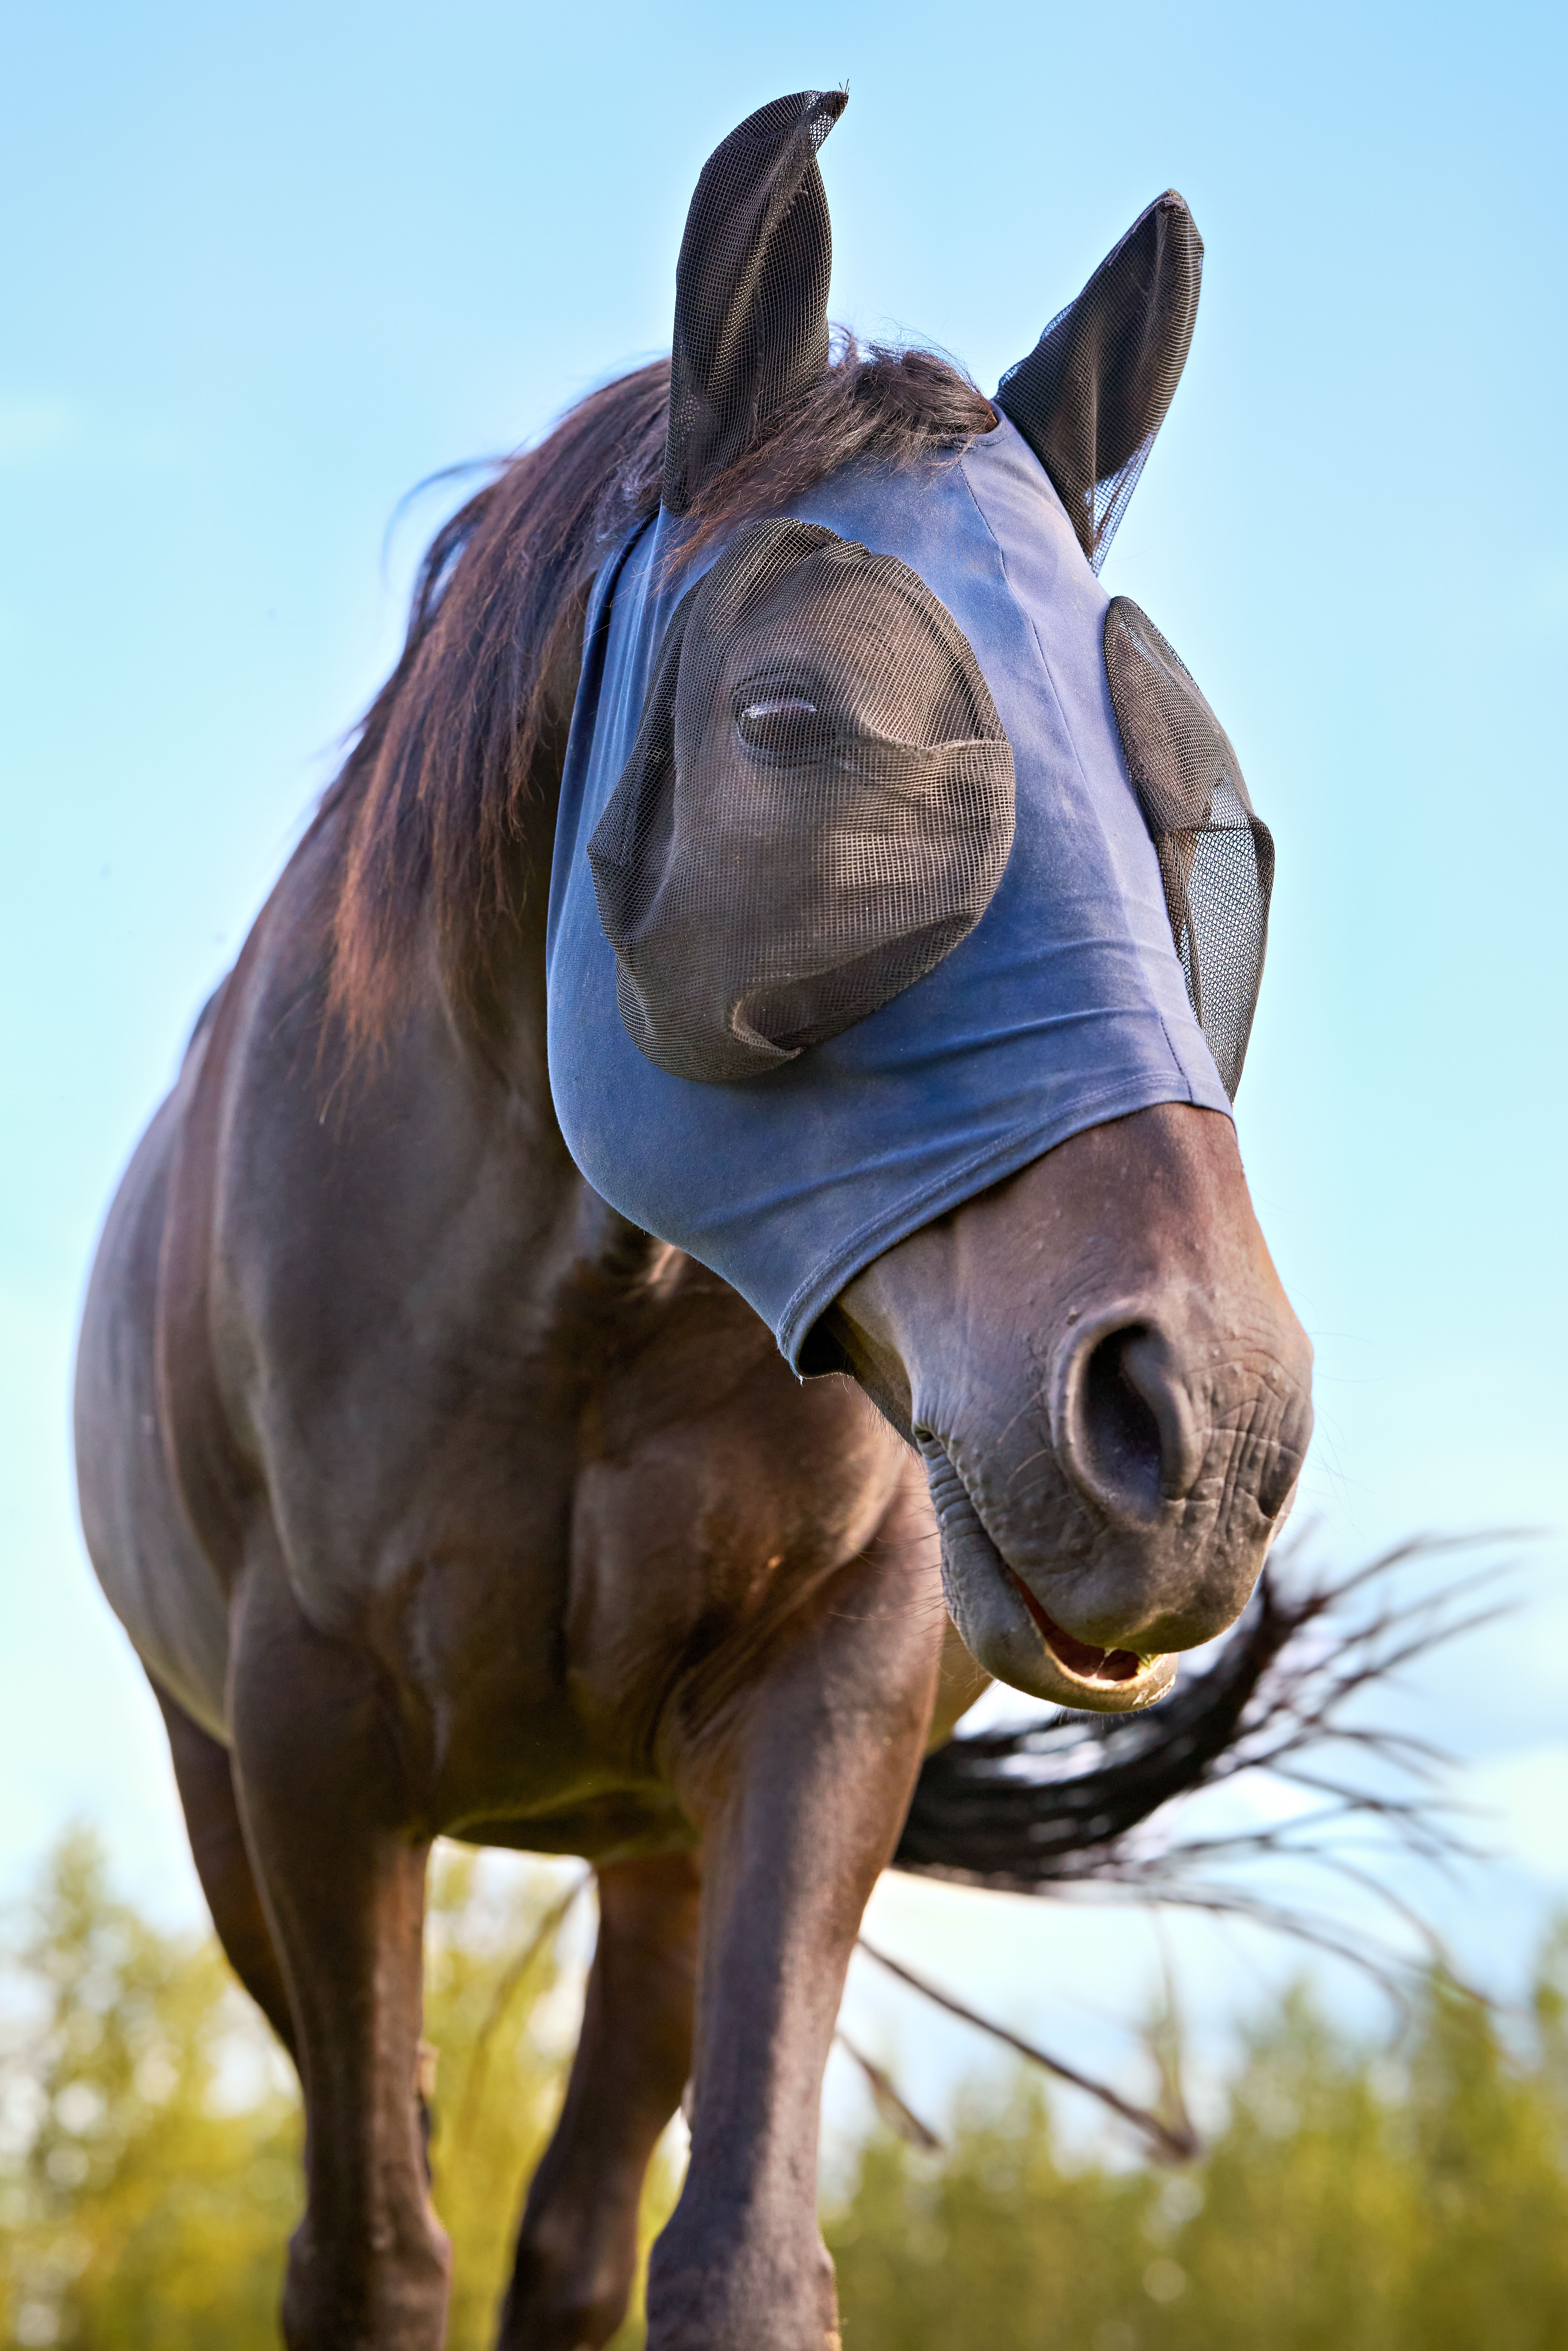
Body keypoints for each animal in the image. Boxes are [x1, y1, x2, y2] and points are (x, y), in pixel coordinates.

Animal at [74, 89, 1312, 2351]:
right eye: (791, 723)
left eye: (1195, 821)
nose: (1203, 1425)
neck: (579, 1317)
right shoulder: (310, 1760)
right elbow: (372, 2257)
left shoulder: (815, 1712)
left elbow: (729, 2256)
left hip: (649, 1851)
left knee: (577, 2237)